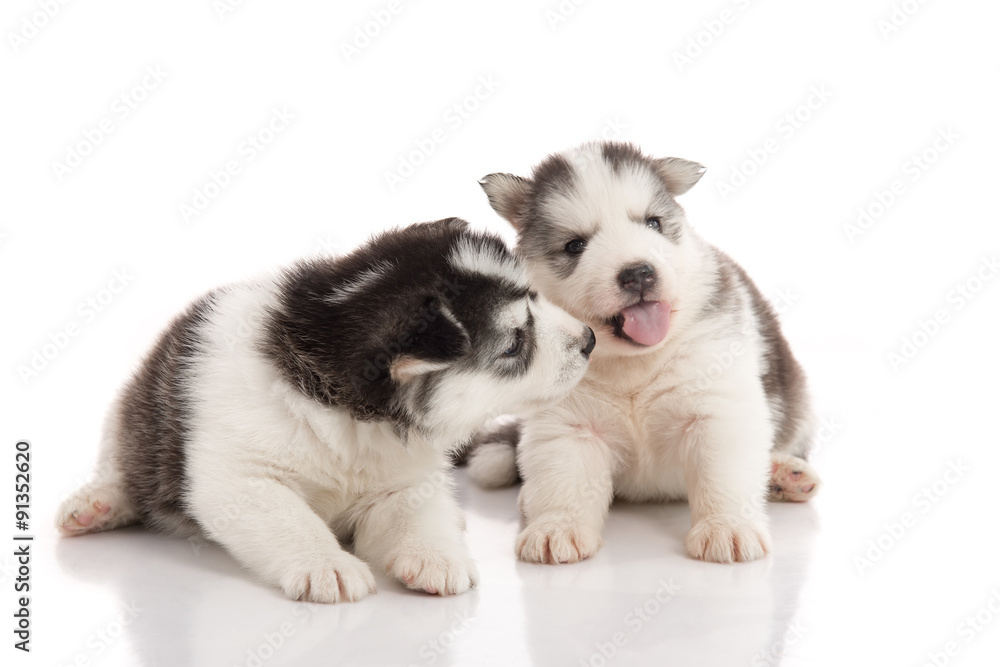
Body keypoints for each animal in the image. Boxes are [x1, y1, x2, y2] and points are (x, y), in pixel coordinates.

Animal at [54, 218, 592, 600]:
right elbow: (290, 520)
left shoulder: (405, 482)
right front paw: (326, 565)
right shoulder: (242, 481)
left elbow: (418, 515)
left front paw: (436, 554)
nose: (588, 339)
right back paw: (98, 503)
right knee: (120, 462)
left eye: (537, 296)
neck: (349, 417)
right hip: (133, 410)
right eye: (515, 344)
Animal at [470, 141, 820, 564]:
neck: (633, 363)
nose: (638, 273)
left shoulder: (718, 407)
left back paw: (784, 474)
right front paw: (557, 526)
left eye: (653, 223)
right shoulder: (567, 424)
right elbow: (564, 478)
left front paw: (727, 526)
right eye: (575, 245)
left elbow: (724, 475)